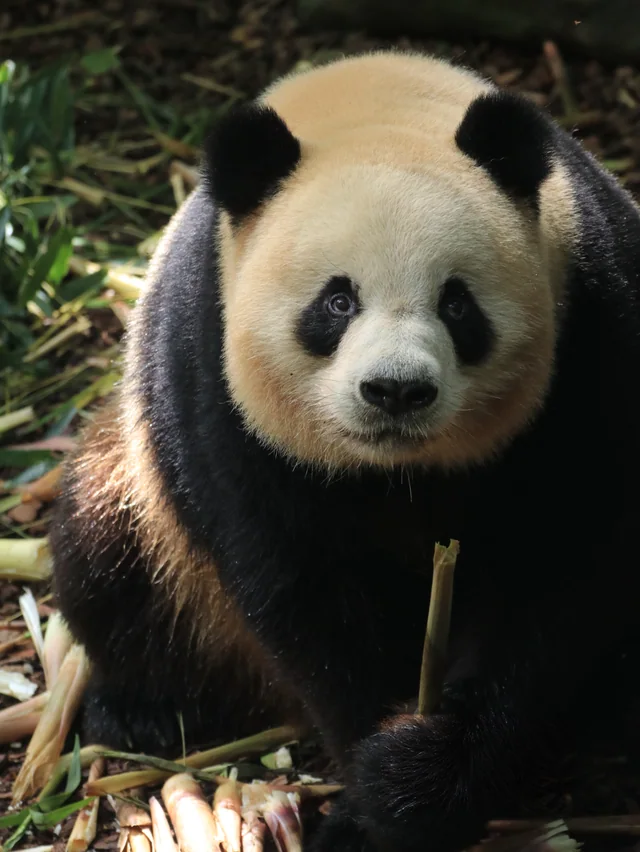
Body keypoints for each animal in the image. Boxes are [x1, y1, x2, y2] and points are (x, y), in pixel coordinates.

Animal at [50, 49, 640, 852]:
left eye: (457, 303)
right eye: (336, 302)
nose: (396, 391)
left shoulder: (591, 337)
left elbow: (559, 571)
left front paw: (418, 780)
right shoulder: (212, 377)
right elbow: (299, 588)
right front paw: (374, 798)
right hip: (149, 501)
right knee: (107, 552)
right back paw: (143, 712)